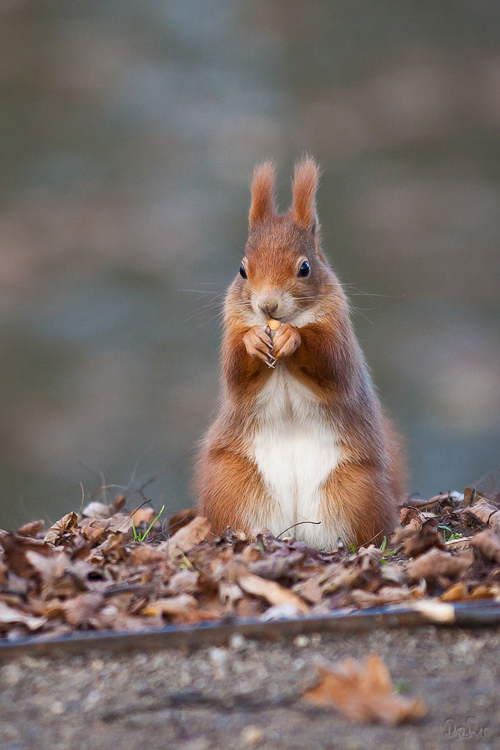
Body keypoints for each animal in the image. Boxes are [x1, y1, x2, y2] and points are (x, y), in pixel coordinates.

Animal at [193, 159, 404, 548]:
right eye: (242, 269)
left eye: (304, 268)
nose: (268, 306)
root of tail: (295, 529)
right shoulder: (232, 327)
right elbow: (235, 373)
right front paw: (253, 341)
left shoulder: (338, 332)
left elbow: (332, 365)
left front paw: (295, 338)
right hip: (231, 483)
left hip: (357, 489)